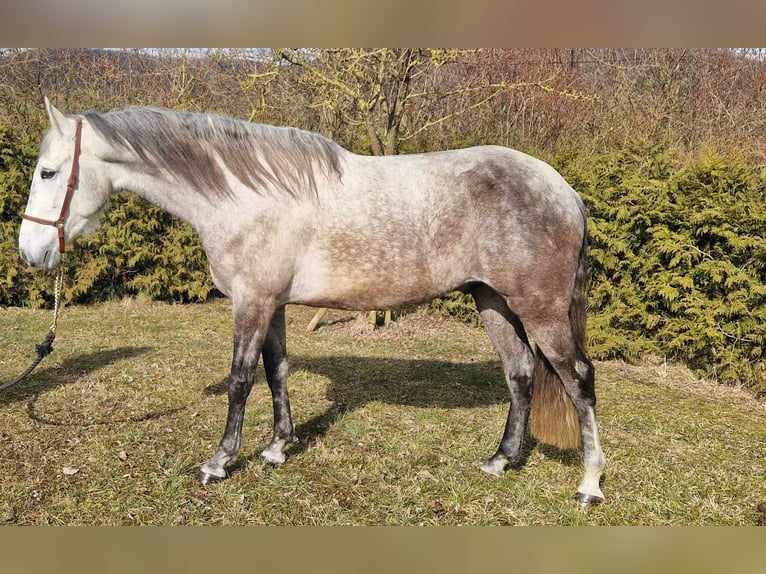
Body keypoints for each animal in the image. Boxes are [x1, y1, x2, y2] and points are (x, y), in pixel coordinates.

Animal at [16, 99, 608, 508]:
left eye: (48, 172)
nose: (30, 252)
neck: (246, 196)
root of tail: (563, 189)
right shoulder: (273, 305)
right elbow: (276, 371)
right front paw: (279, 448)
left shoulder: (251, 302)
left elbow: (240, 380)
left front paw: (220, 462)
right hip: (493, 301)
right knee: (520, 373)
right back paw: (501, 460)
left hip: (540, 307)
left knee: (578, 378)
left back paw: (589, 484)